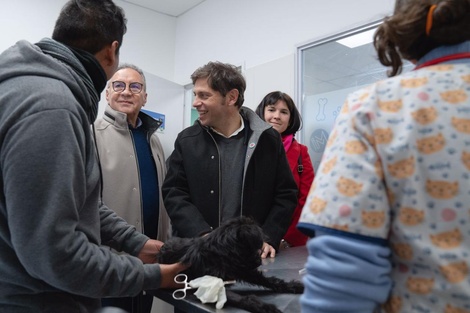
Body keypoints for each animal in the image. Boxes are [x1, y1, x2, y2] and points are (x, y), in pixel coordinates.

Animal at [158, 216, 304, 312]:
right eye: (251, 248)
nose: (259, 261)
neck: (220, 253)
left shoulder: (243, 270)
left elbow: (269, 280)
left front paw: (291, 286)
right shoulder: (213, 282)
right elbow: (239, 298)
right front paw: (263, 306)